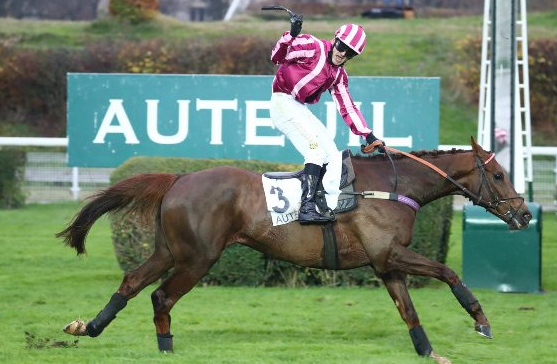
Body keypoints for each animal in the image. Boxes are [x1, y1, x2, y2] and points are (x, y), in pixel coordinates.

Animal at [56, 137, 528, 364]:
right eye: (499, 175)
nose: (523, 215)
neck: (393, 187)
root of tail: (178, 178)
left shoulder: (384, 263)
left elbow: (409, 311)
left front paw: (430, 353)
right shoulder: (389, 254)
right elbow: (448, 273)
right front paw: (481, 321)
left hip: (170, 251)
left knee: (132, 282)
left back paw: (89, 327)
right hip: (198, 258)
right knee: (160, 295)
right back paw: (166, 348)